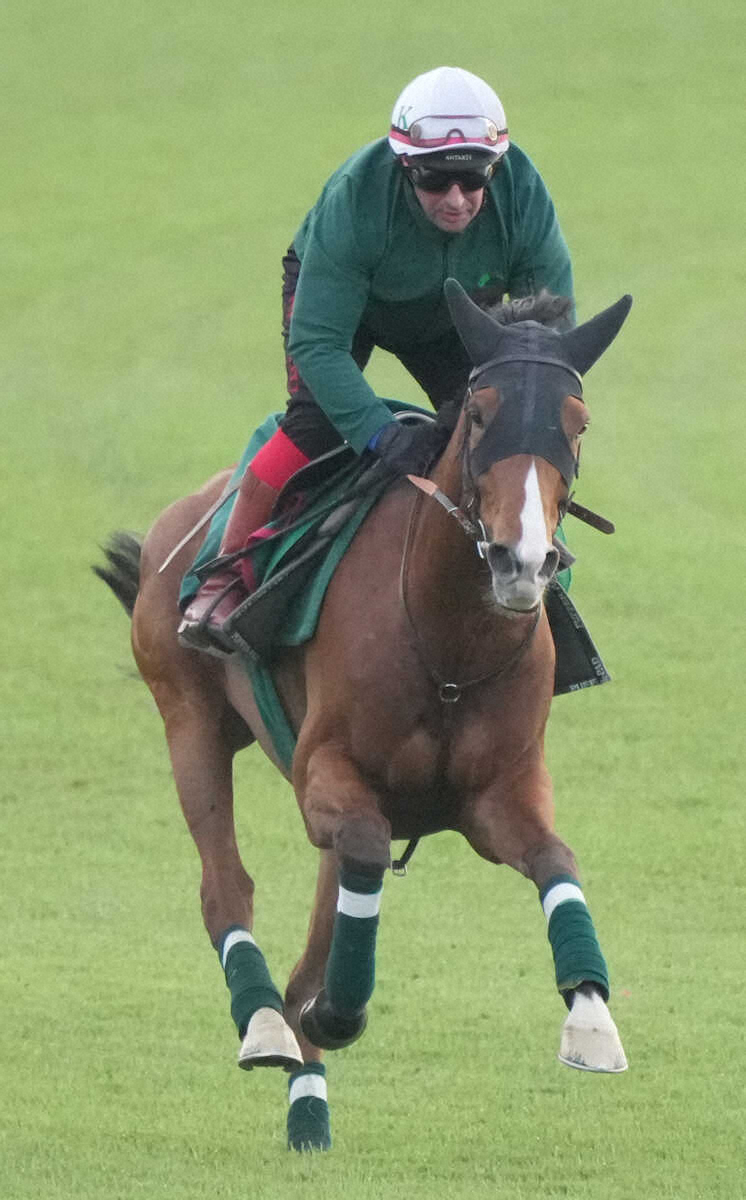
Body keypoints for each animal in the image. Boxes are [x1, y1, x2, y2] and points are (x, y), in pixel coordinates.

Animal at [96, 280, 632, 1152]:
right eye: (478, 411)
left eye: (577, 420)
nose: (522, 561)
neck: (449, 644)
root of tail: (187, 513)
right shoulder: (329, 772)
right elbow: (364, 848)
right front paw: (339, 1011)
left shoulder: (498, 797)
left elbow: (557, 859)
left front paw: (591, 1020)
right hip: (188, 719)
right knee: (226, 889)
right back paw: (266, 1026)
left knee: (310, 942)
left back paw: (309, 1107)